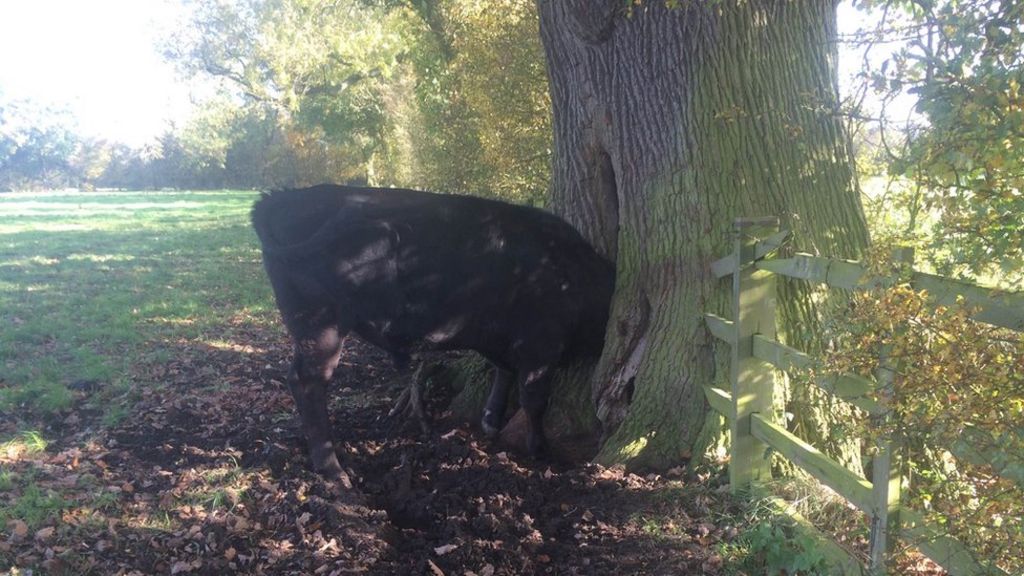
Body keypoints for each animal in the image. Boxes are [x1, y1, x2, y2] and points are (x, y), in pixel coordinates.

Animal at [251, 184, 615, 481]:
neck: (575, 273)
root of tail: (277, 199)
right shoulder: (541, 346)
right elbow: (535, 400)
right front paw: (539, 449)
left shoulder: (499, 338)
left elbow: (503, 371)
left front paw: (490, 420)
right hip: (322, 325)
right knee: (309, 382)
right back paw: (333, 470)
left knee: (296, 378)